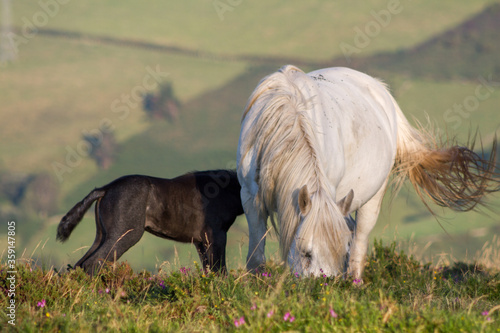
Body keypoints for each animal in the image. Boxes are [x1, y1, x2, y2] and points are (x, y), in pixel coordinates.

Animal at [57, 170, 244, 274]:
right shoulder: (216, 236)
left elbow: (208, 269)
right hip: (125, 234)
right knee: (93, 263)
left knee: (80, 264)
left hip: (102, 235)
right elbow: (220, 269)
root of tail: (106, 188)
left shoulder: (200, 242)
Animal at [236, 65, 498, 278]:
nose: (322, 287)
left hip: (372, 199)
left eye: (341, 251)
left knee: (360, 238)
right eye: (306, 253)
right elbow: (256, 252)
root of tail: (381, 91)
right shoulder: (250, 197)